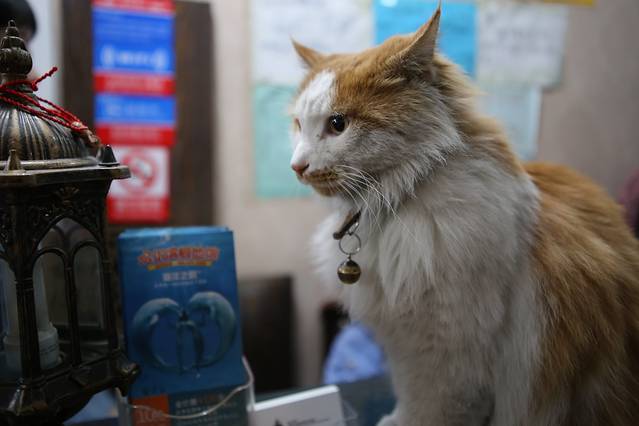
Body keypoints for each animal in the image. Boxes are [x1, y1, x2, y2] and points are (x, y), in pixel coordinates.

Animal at [289, 6, 639, 426]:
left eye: (338, 124)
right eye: (298, 125)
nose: (297, 166)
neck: (398, 204)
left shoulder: (451, 359)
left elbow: (429, 410)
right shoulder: (404, 347)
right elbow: (408, 397)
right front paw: (395, 418)